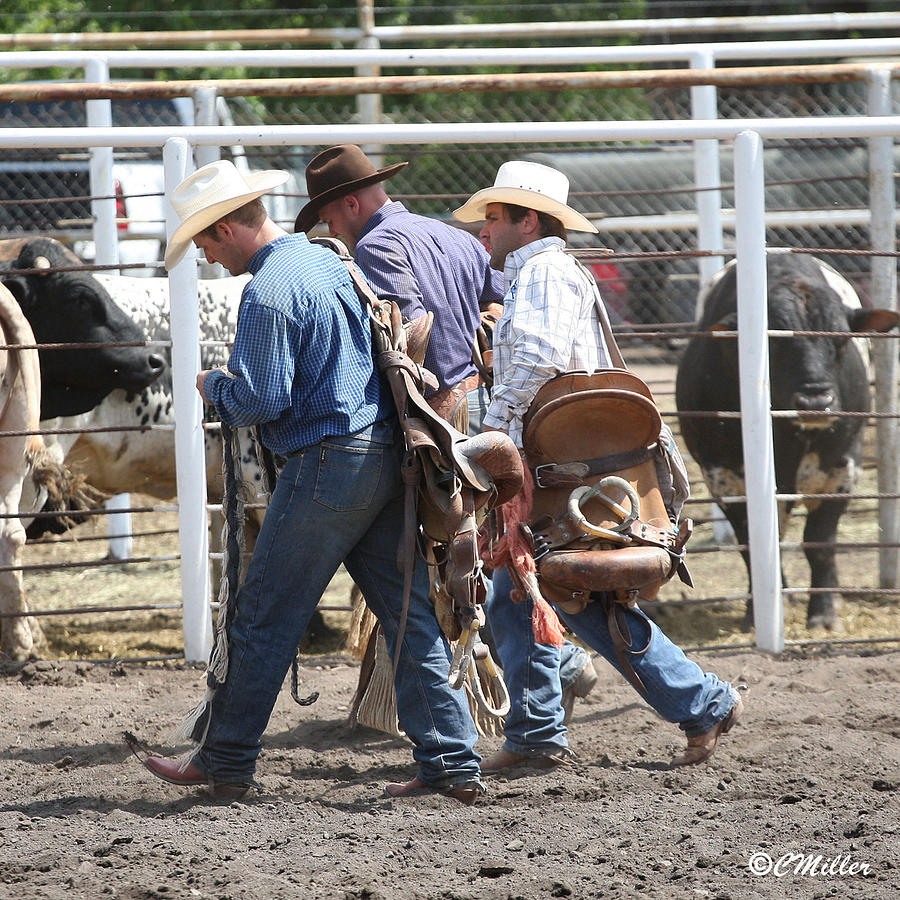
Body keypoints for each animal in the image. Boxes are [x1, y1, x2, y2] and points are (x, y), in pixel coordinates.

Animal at [680, 251, 896, 632]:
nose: (815, 401)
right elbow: (752, 544)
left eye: (841, 339)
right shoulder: (725, 477)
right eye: (775, 343)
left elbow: (820, 544)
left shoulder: (841, 471)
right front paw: (756, 614)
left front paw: (824, 614)